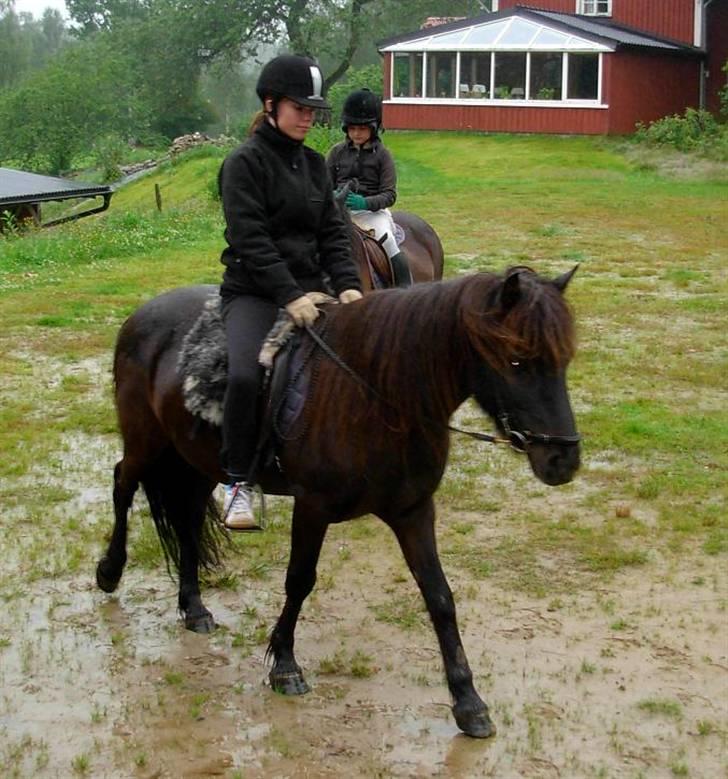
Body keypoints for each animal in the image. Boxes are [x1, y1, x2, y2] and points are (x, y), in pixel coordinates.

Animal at [95, 266, 580, 736]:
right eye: (517, 360)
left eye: (564, 360)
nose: (563, 460)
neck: (378, 396)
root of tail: (141, 315)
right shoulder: (313, 507)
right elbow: (299, 581)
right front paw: (285, 665)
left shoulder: (413, 511)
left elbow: (440, 597)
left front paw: (468, 701)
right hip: (146, 442)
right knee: (122, 483)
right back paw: (109, 572)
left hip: (193, 459)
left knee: (189, 522)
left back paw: (193, 607)